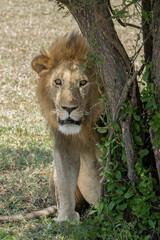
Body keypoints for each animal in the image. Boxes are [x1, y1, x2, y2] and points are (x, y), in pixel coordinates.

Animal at [31, 32, 104, 222]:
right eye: (58, 82)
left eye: (83, 83)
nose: (68, 108)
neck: (84, 129)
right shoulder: (64, 146)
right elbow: (65, 184)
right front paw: (65, 220)